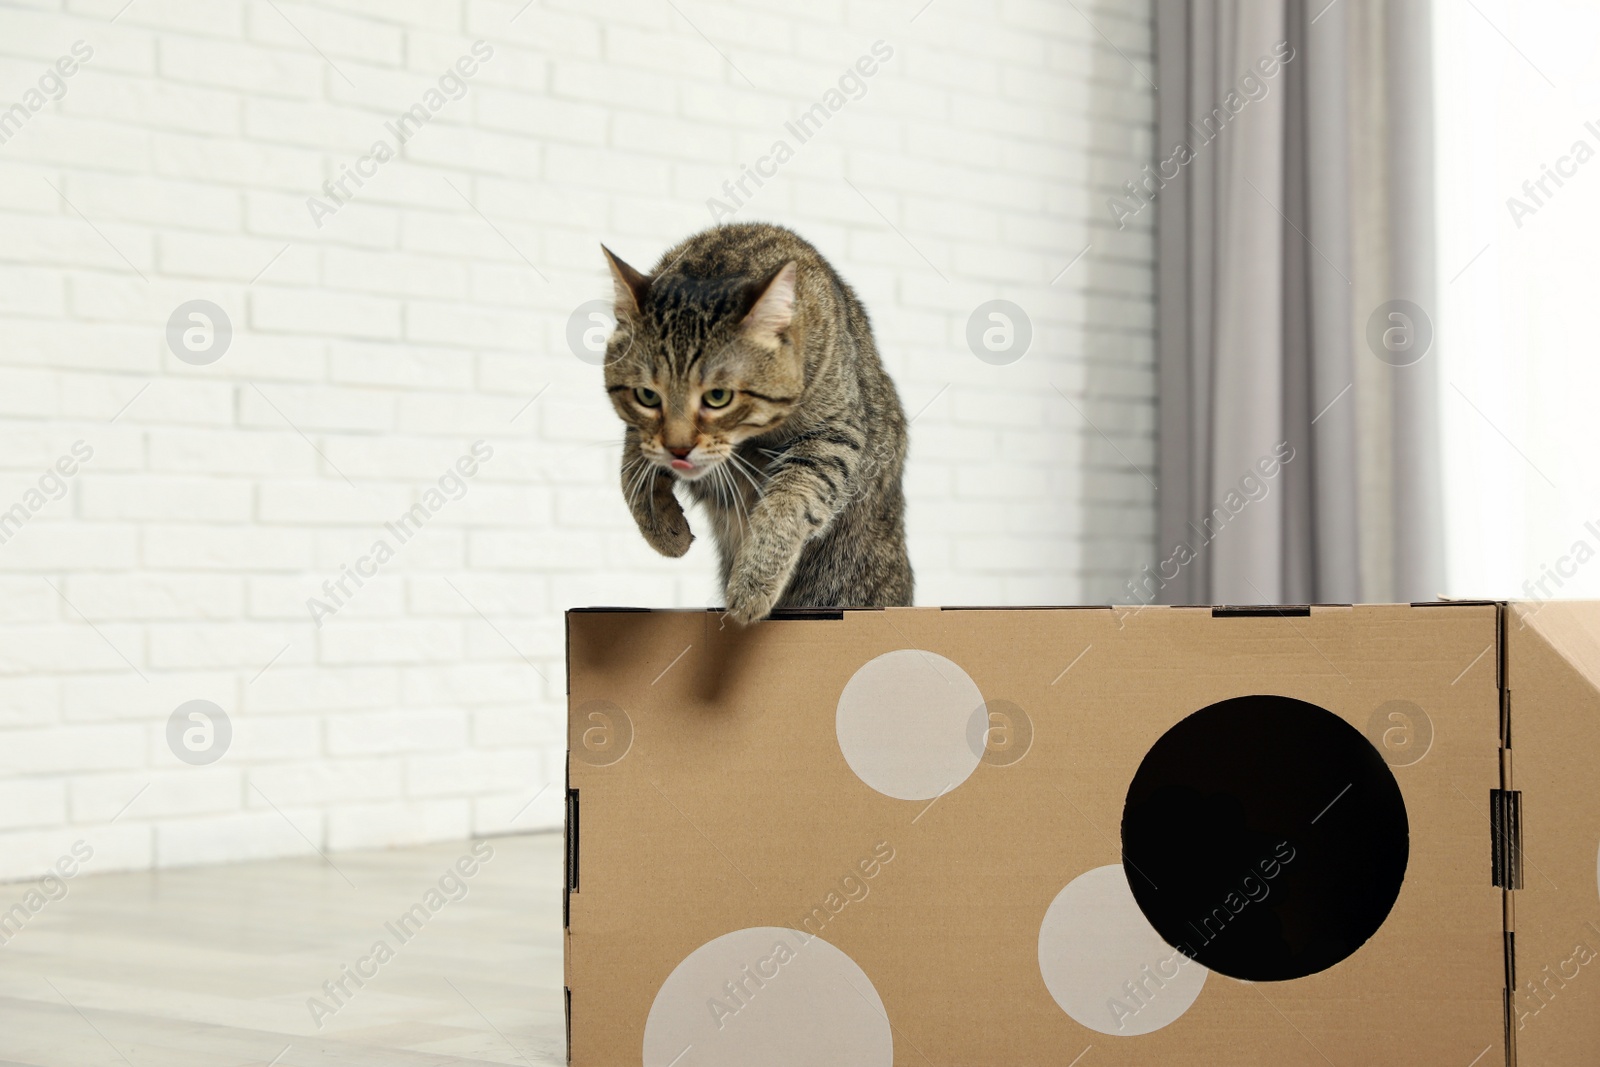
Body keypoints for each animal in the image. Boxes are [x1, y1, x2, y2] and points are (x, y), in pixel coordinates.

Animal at [601, 225, 915, 627]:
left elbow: (788, 502)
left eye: (718, 397)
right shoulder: (640, 436)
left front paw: (752, 583)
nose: (679, 448)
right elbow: (630, 474)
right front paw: (665, 530)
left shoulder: (833, 437)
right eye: (647, 396)